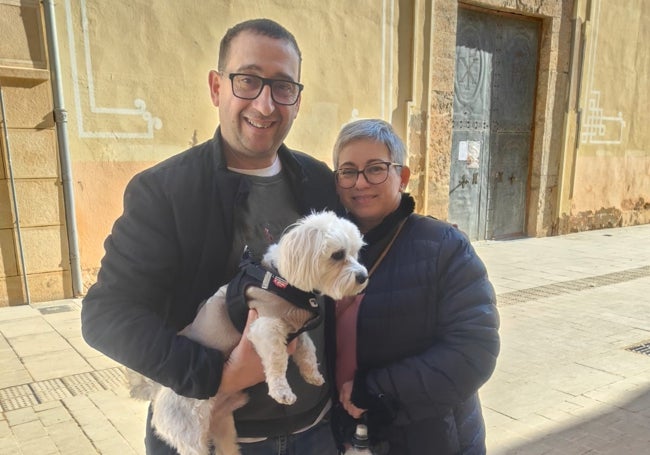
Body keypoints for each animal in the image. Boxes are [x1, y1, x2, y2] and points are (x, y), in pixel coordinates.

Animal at [133, 212, 364, 455]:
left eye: (356, 251)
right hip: (191, 434)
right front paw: (281, 391)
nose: (363, 276)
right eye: (337, 255)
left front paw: (312, 374)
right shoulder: (264, 325)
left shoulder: (294, 330)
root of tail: (156, 391)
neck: (284, 280)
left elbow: (307, 349)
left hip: (224, 427)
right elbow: (277, 359)